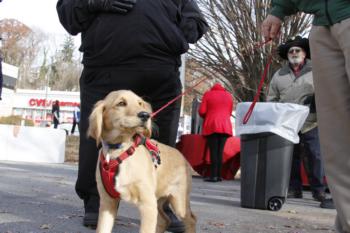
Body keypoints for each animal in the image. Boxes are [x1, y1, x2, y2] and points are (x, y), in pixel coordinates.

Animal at [88, 90, 197, 233]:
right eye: (121, 103)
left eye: (140, 103)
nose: (146, 115)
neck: (119, 152)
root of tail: (183, 157)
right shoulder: (107, 202)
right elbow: (102, 229)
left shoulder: (147, 203)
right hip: (159, 199)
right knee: (164, 220)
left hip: (178, 201)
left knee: (191, 220)